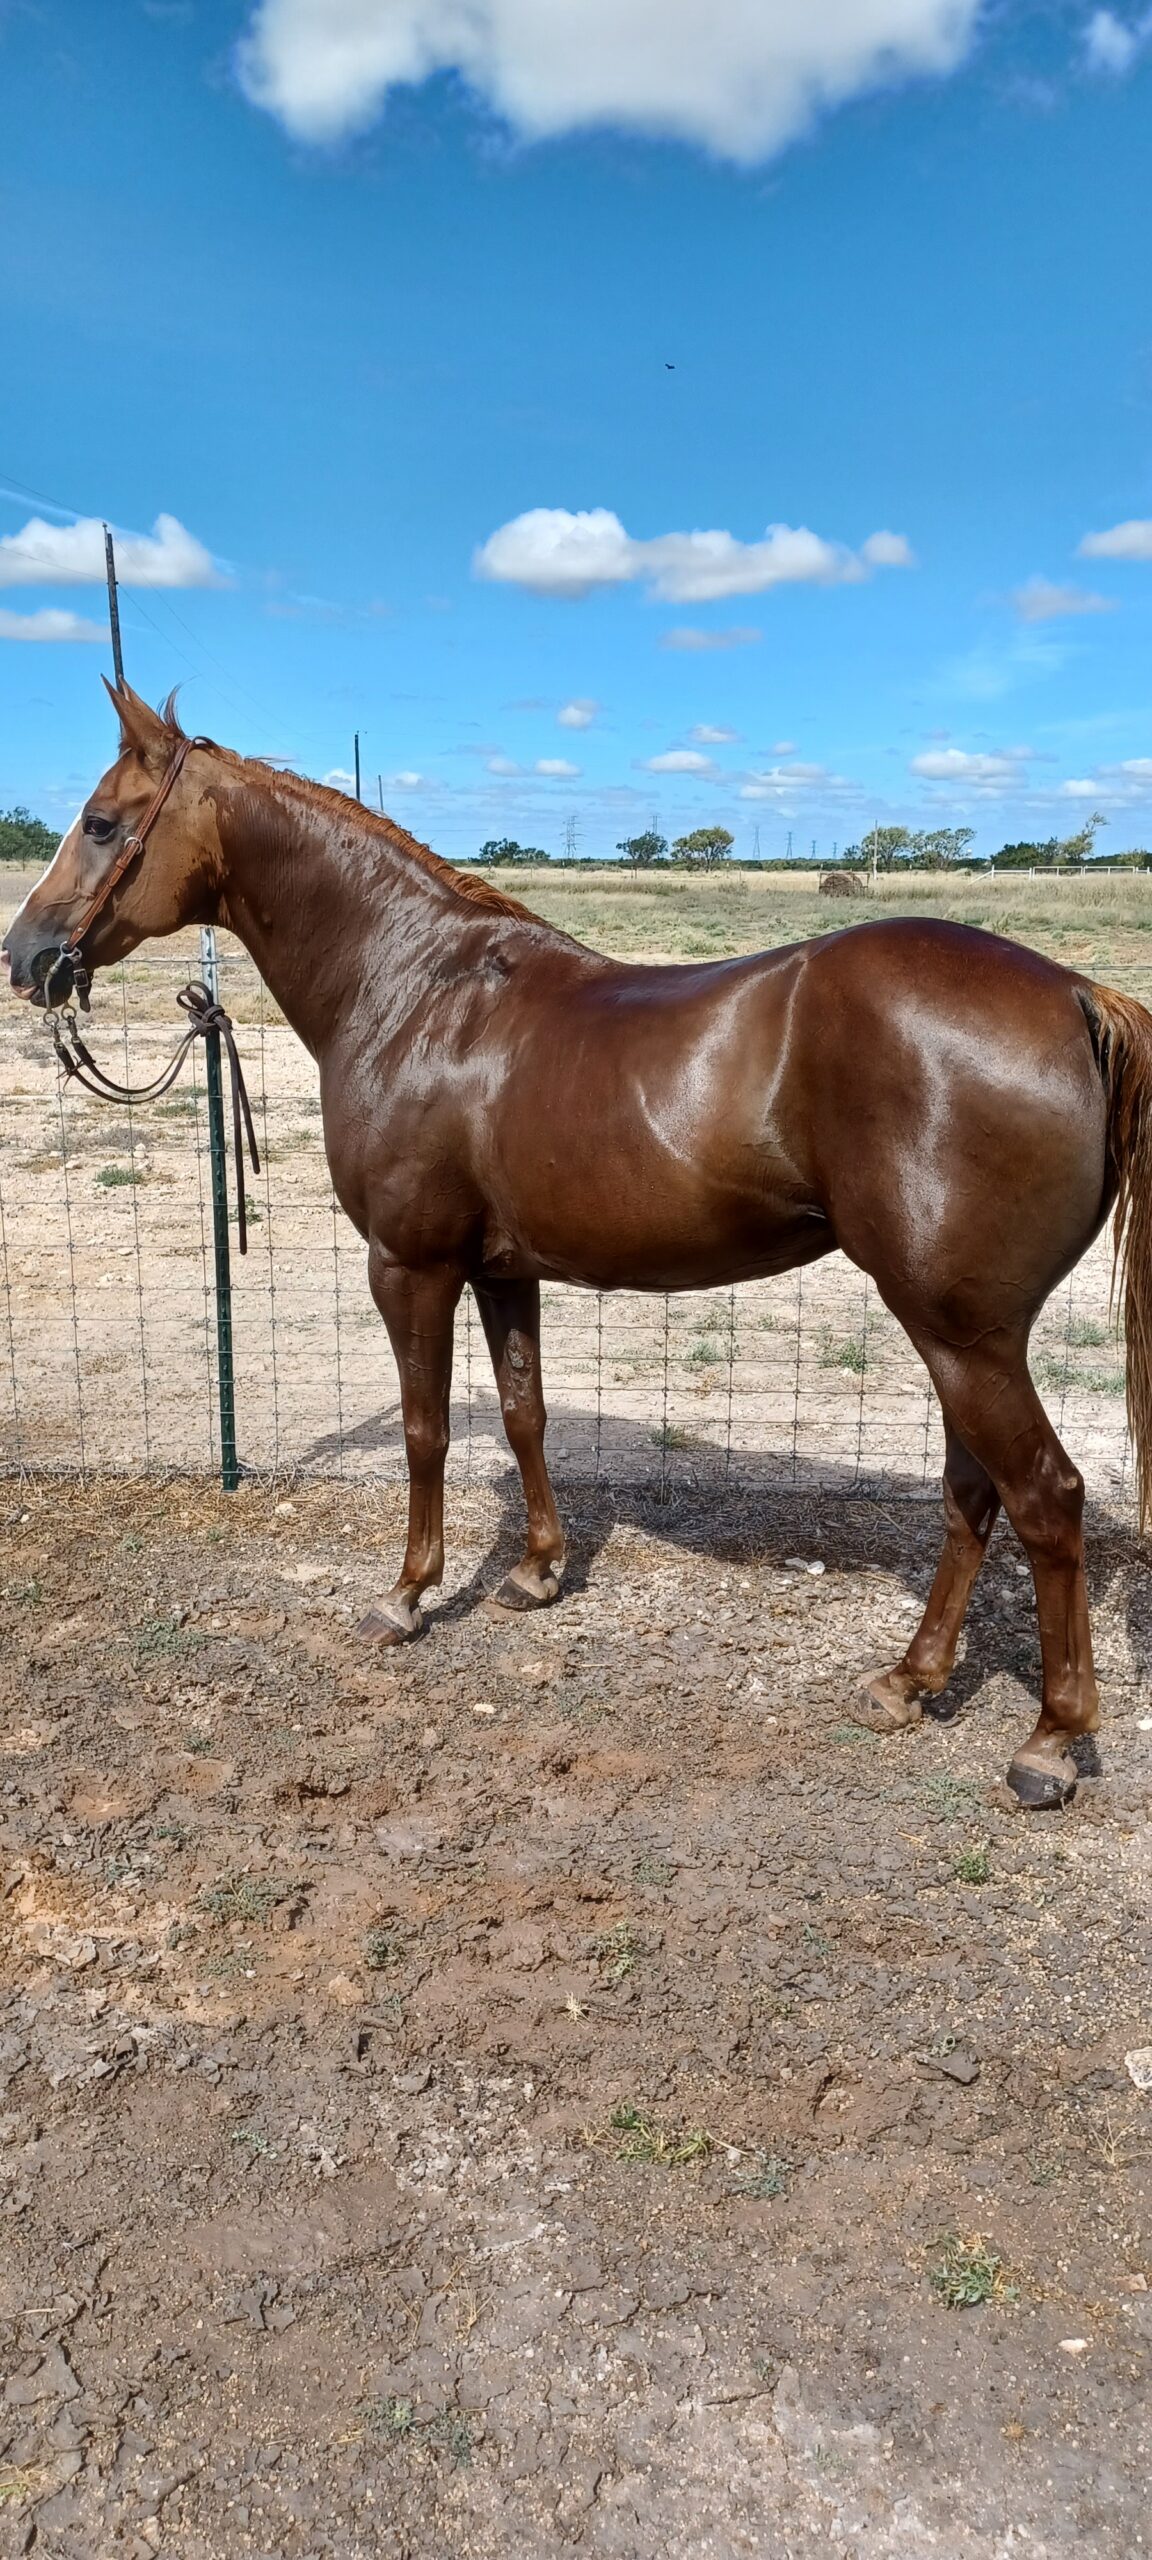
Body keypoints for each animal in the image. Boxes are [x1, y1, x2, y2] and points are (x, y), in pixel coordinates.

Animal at [6, 681, 1152, 1811]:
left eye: (100, 822)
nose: (24, 958)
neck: (417, 991)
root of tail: (1076, 996)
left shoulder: (410, 1266)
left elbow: (427, 1430)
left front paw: (408, 1595)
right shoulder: (503, 1271)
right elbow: (524, 1415)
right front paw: (536, 1572)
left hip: (961, 1333)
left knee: (1044, 1498)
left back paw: (1050, 1742)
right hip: (962, 1332)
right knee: (973, 1495)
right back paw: (908, 1682)